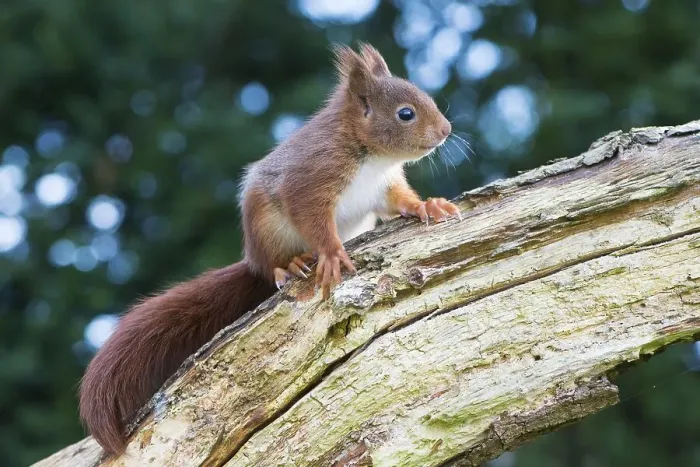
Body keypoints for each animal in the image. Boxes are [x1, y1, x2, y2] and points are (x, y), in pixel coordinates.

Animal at [78, 43, 460, 455]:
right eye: (406, 113)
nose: (446, 131)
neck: (370, 156)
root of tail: (251, 258)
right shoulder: (310, 178)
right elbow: (313, 219)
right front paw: (331, 253)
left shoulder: (384, 186)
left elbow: (400, 201)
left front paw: (428, 206)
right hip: (266, 228)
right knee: (271, 265)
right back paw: (288, 266)